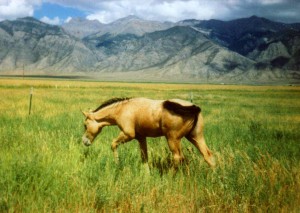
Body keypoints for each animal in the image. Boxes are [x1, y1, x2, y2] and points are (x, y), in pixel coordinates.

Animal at [81, 97, 214, 167]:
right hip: (195, 137)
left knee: (177, 157)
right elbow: (144, 157)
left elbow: (113, 144)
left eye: (85, 125)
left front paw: (117, 163)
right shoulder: (141, 138)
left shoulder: (128, 134)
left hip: (173, 139)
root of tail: (193, 107)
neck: (122, 109)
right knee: (208, 156)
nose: (84, 141)